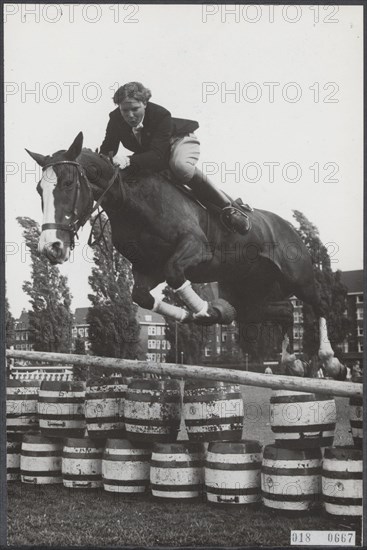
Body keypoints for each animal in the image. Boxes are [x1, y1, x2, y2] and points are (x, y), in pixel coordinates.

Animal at [26, 133, 344, 380]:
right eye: (40, 190)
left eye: (68, 184)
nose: (51, 247)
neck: (133, 200)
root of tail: (288, 226)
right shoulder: (147, 269)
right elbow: (142, 295)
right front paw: (202, 314)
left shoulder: (195, 249)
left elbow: (176, 273)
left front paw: (208, 312)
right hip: (252, 297)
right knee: (285, 311)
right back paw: (292, 361)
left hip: (298, 278)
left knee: (320, 304)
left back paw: (330, 360)